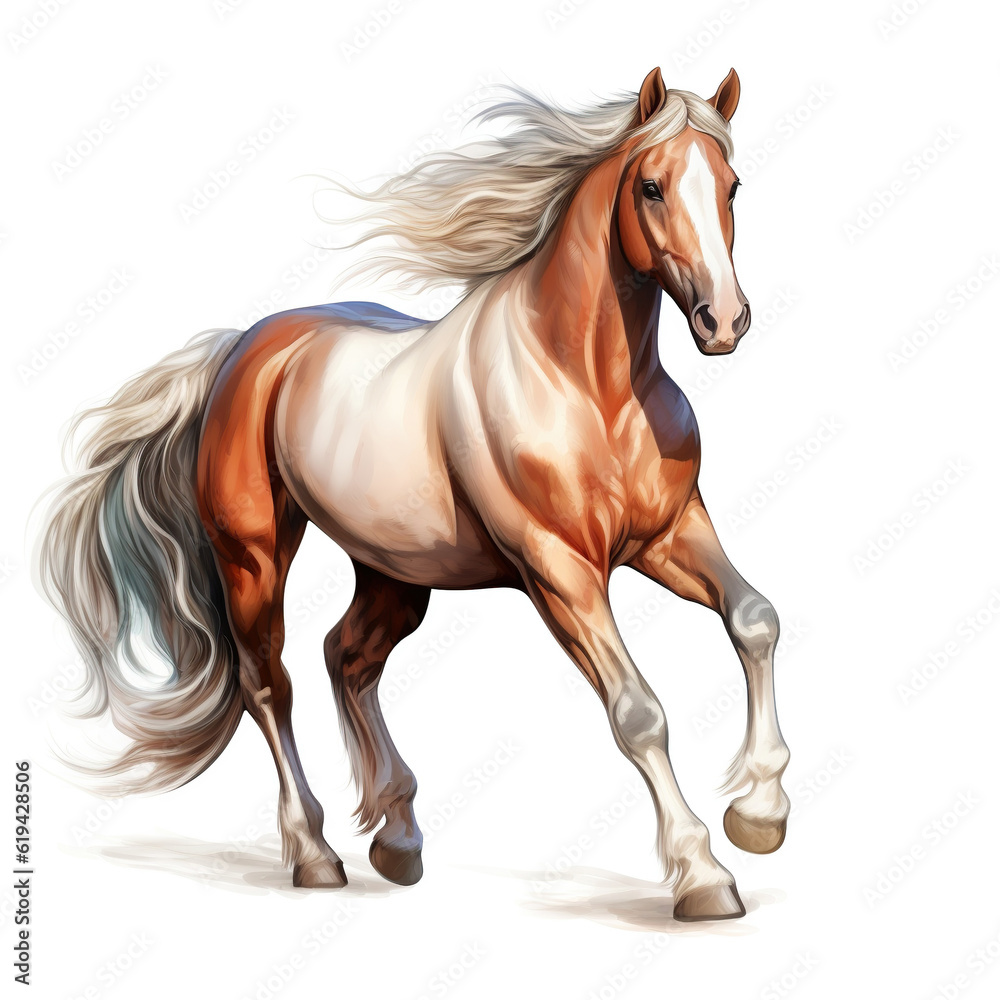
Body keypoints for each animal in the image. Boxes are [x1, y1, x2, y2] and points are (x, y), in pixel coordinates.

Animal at [37, 67, 790, 921]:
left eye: (732, 185)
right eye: (653, 186)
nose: (723, 321)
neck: (589, 385)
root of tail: (242, 350)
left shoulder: (670, 534)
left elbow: (755, 619)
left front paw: (760, 816)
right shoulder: (560, 570)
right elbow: (639, 714)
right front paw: (703, 874)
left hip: (395, 572)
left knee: (347, 657)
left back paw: (397, 839)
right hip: (253, 558)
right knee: (270, 684)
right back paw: (315, 855)